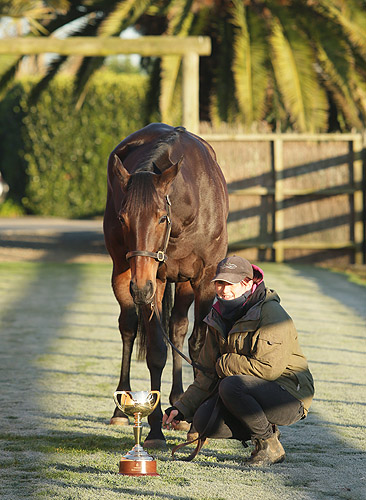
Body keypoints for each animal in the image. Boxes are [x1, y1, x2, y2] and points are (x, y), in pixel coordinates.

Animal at [103, 123, 227, 448]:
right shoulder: (153, 282)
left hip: (182, 284)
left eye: (161, 218)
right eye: (123, 218)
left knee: (179, 328)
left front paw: (194, 421)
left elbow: (198, 344)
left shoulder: (205, 279)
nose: (139, 287)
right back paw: (121, 408)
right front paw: (155, 430)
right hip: (124, 275)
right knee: (128, 327)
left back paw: (180, 403)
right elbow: (157, 349)